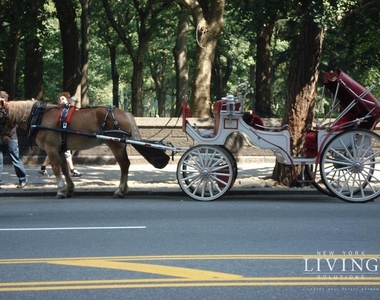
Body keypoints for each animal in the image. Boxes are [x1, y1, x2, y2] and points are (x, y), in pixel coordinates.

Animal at [0, 100, 169, 199]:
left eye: (0, 115)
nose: (4, 140)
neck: (39, 116)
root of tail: (125, 113)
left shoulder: (51, 148)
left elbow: (56, 169)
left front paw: (60, 190)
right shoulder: (61, 149)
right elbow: (64, 168)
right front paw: (69, 189)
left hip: (116, 145)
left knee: (124, 165)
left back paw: (120, 190)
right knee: (125, 165)